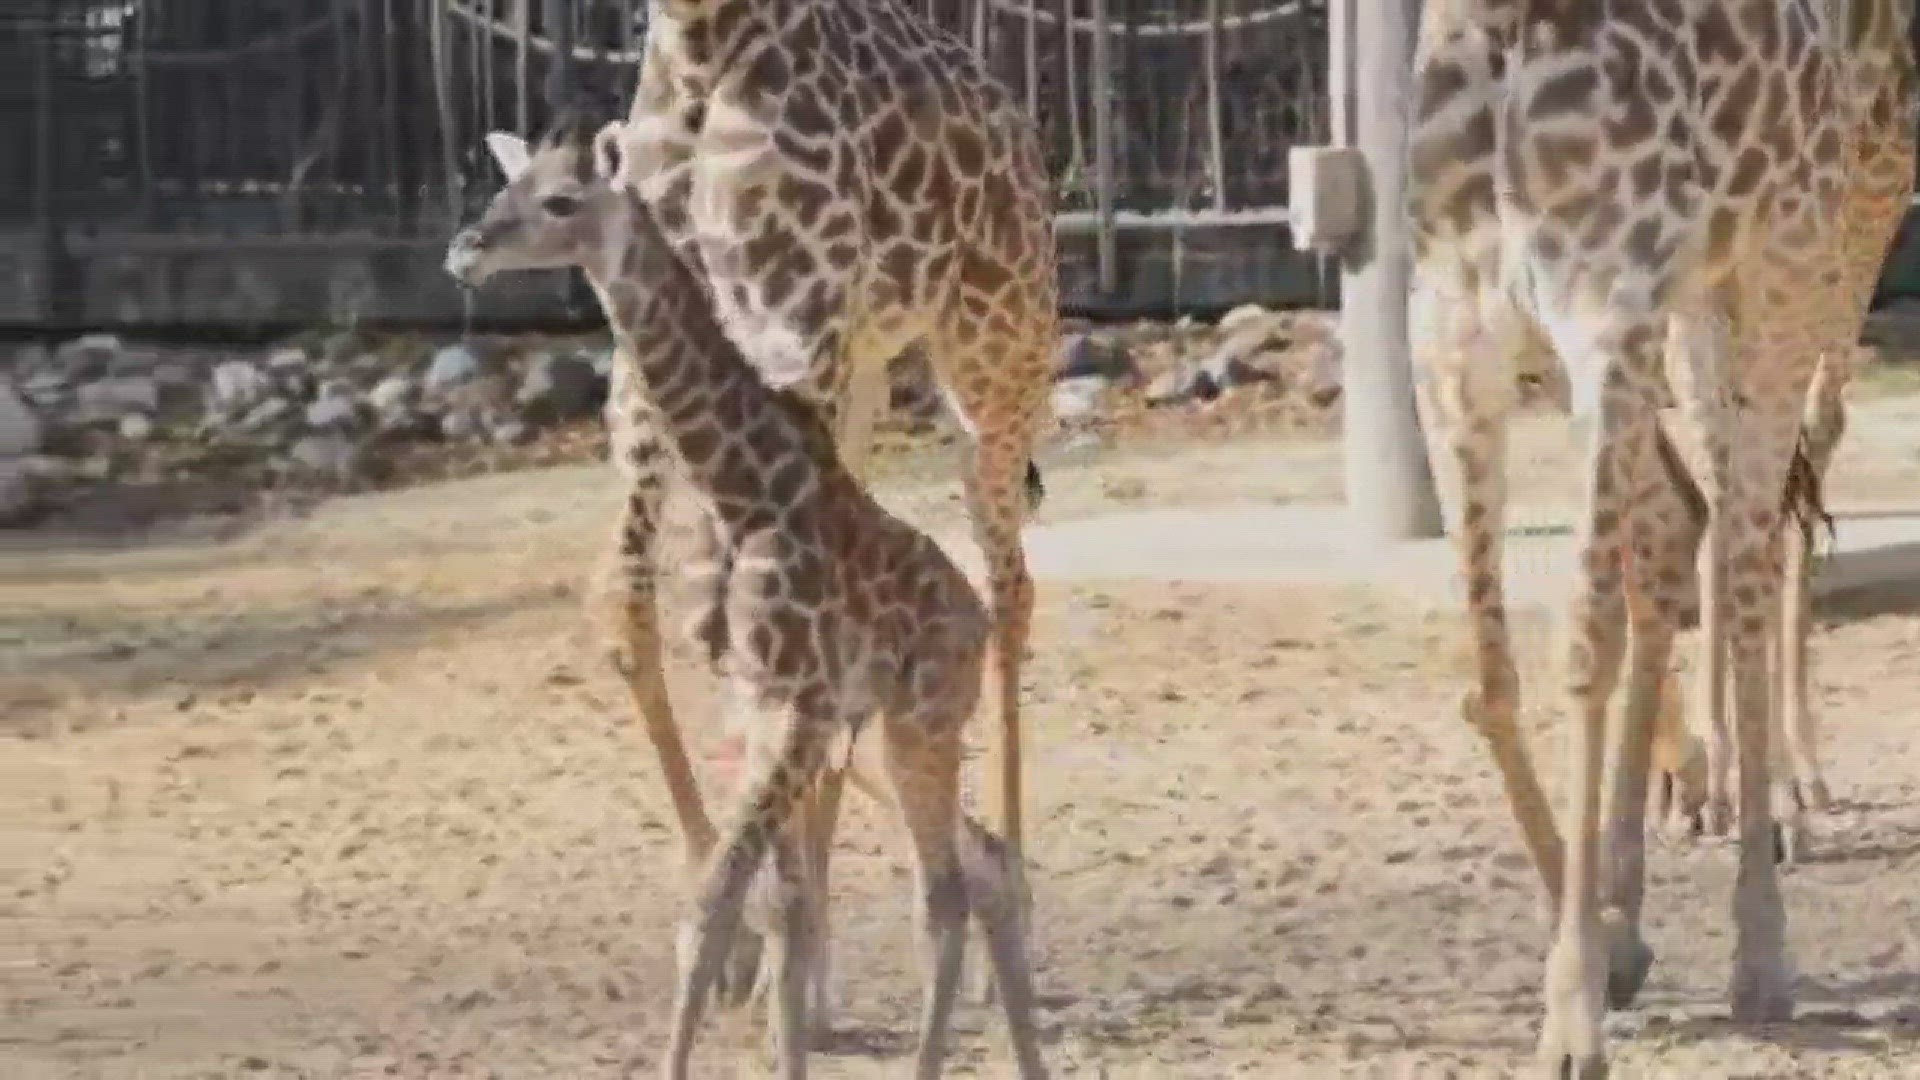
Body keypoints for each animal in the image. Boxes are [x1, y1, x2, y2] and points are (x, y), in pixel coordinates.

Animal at [445, 111, 1052, 1076]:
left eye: (561, 200)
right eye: (507, 185)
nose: (465, 250)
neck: (745, 487)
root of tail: (974, 618)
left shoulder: (800, 708)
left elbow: (733, 900)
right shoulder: (770, 703)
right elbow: (762, 909)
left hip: (919, 722)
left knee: (944, 892)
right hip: (887, 736)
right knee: (976, 867)